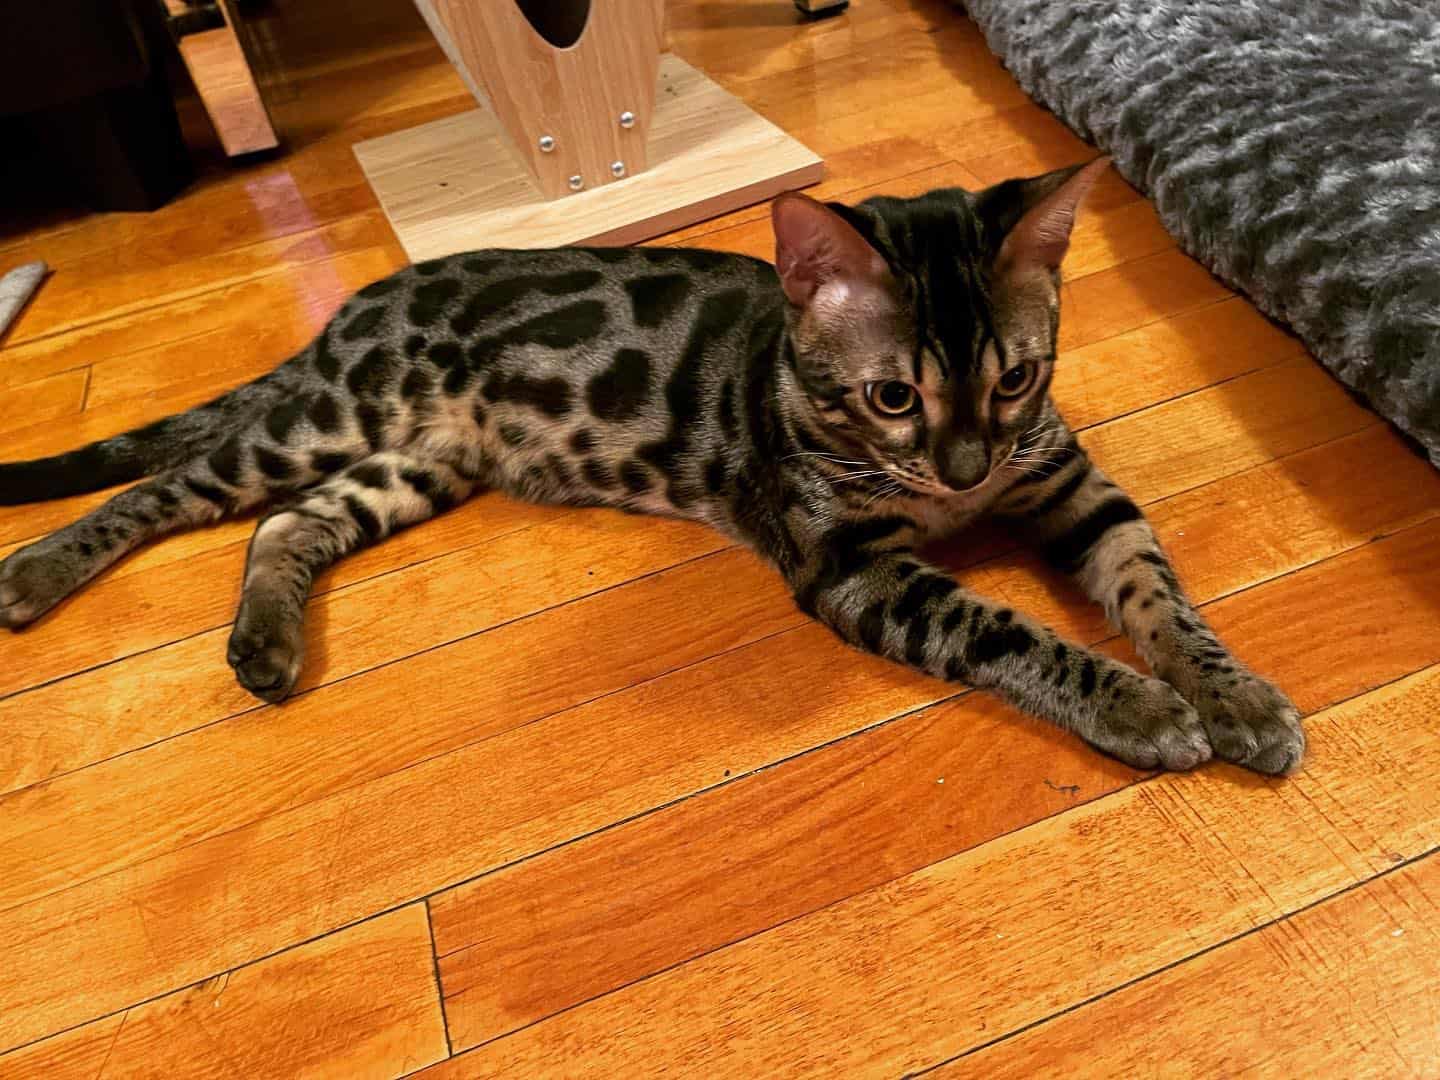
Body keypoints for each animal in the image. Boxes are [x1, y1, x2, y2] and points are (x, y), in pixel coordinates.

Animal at [0, 156, 1307, 771]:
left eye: (1015, 379)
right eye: (893, 396)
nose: (966, 467)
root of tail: (355, 304)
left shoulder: (1069, 483)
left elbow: (1157, 591)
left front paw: (1234, 695)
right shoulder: (851, 568)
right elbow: (1008, 631)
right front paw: (1139, 706)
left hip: (418, 463)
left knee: (288, 525)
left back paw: (267, 641)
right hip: (329, 417)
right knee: (172, 484)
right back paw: (38, 571)